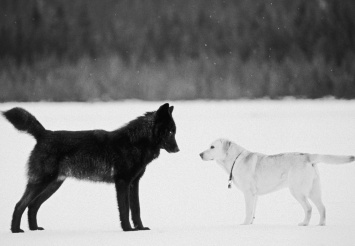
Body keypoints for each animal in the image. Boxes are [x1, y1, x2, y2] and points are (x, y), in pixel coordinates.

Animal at [2, 103, 181, 233]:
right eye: (170, 132)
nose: (178, 149)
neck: (134, 143)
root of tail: (44, 134)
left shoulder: (134, 183)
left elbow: (136, 209)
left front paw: (140, 228)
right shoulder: (122, 182)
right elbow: (125, 209)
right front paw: (128, 230)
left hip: (53, 185)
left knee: (32, 206)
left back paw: (34, 229)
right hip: (42, 182)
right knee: (20, 205)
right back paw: (16, 231)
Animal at [200, 139, 355, 226]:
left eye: (212, 147)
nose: (200, 154)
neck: (234, 159)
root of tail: (307, 155)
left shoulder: (248, 193)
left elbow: (248, 211)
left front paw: (244, 225)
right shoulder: (254, 195)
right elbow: (253, 212)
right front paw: (250, 224)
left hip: (297, 191)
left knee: (309, 208)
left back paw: (304, 223)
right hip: (314, 190)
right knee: (322, 208)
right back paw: (321, 225)